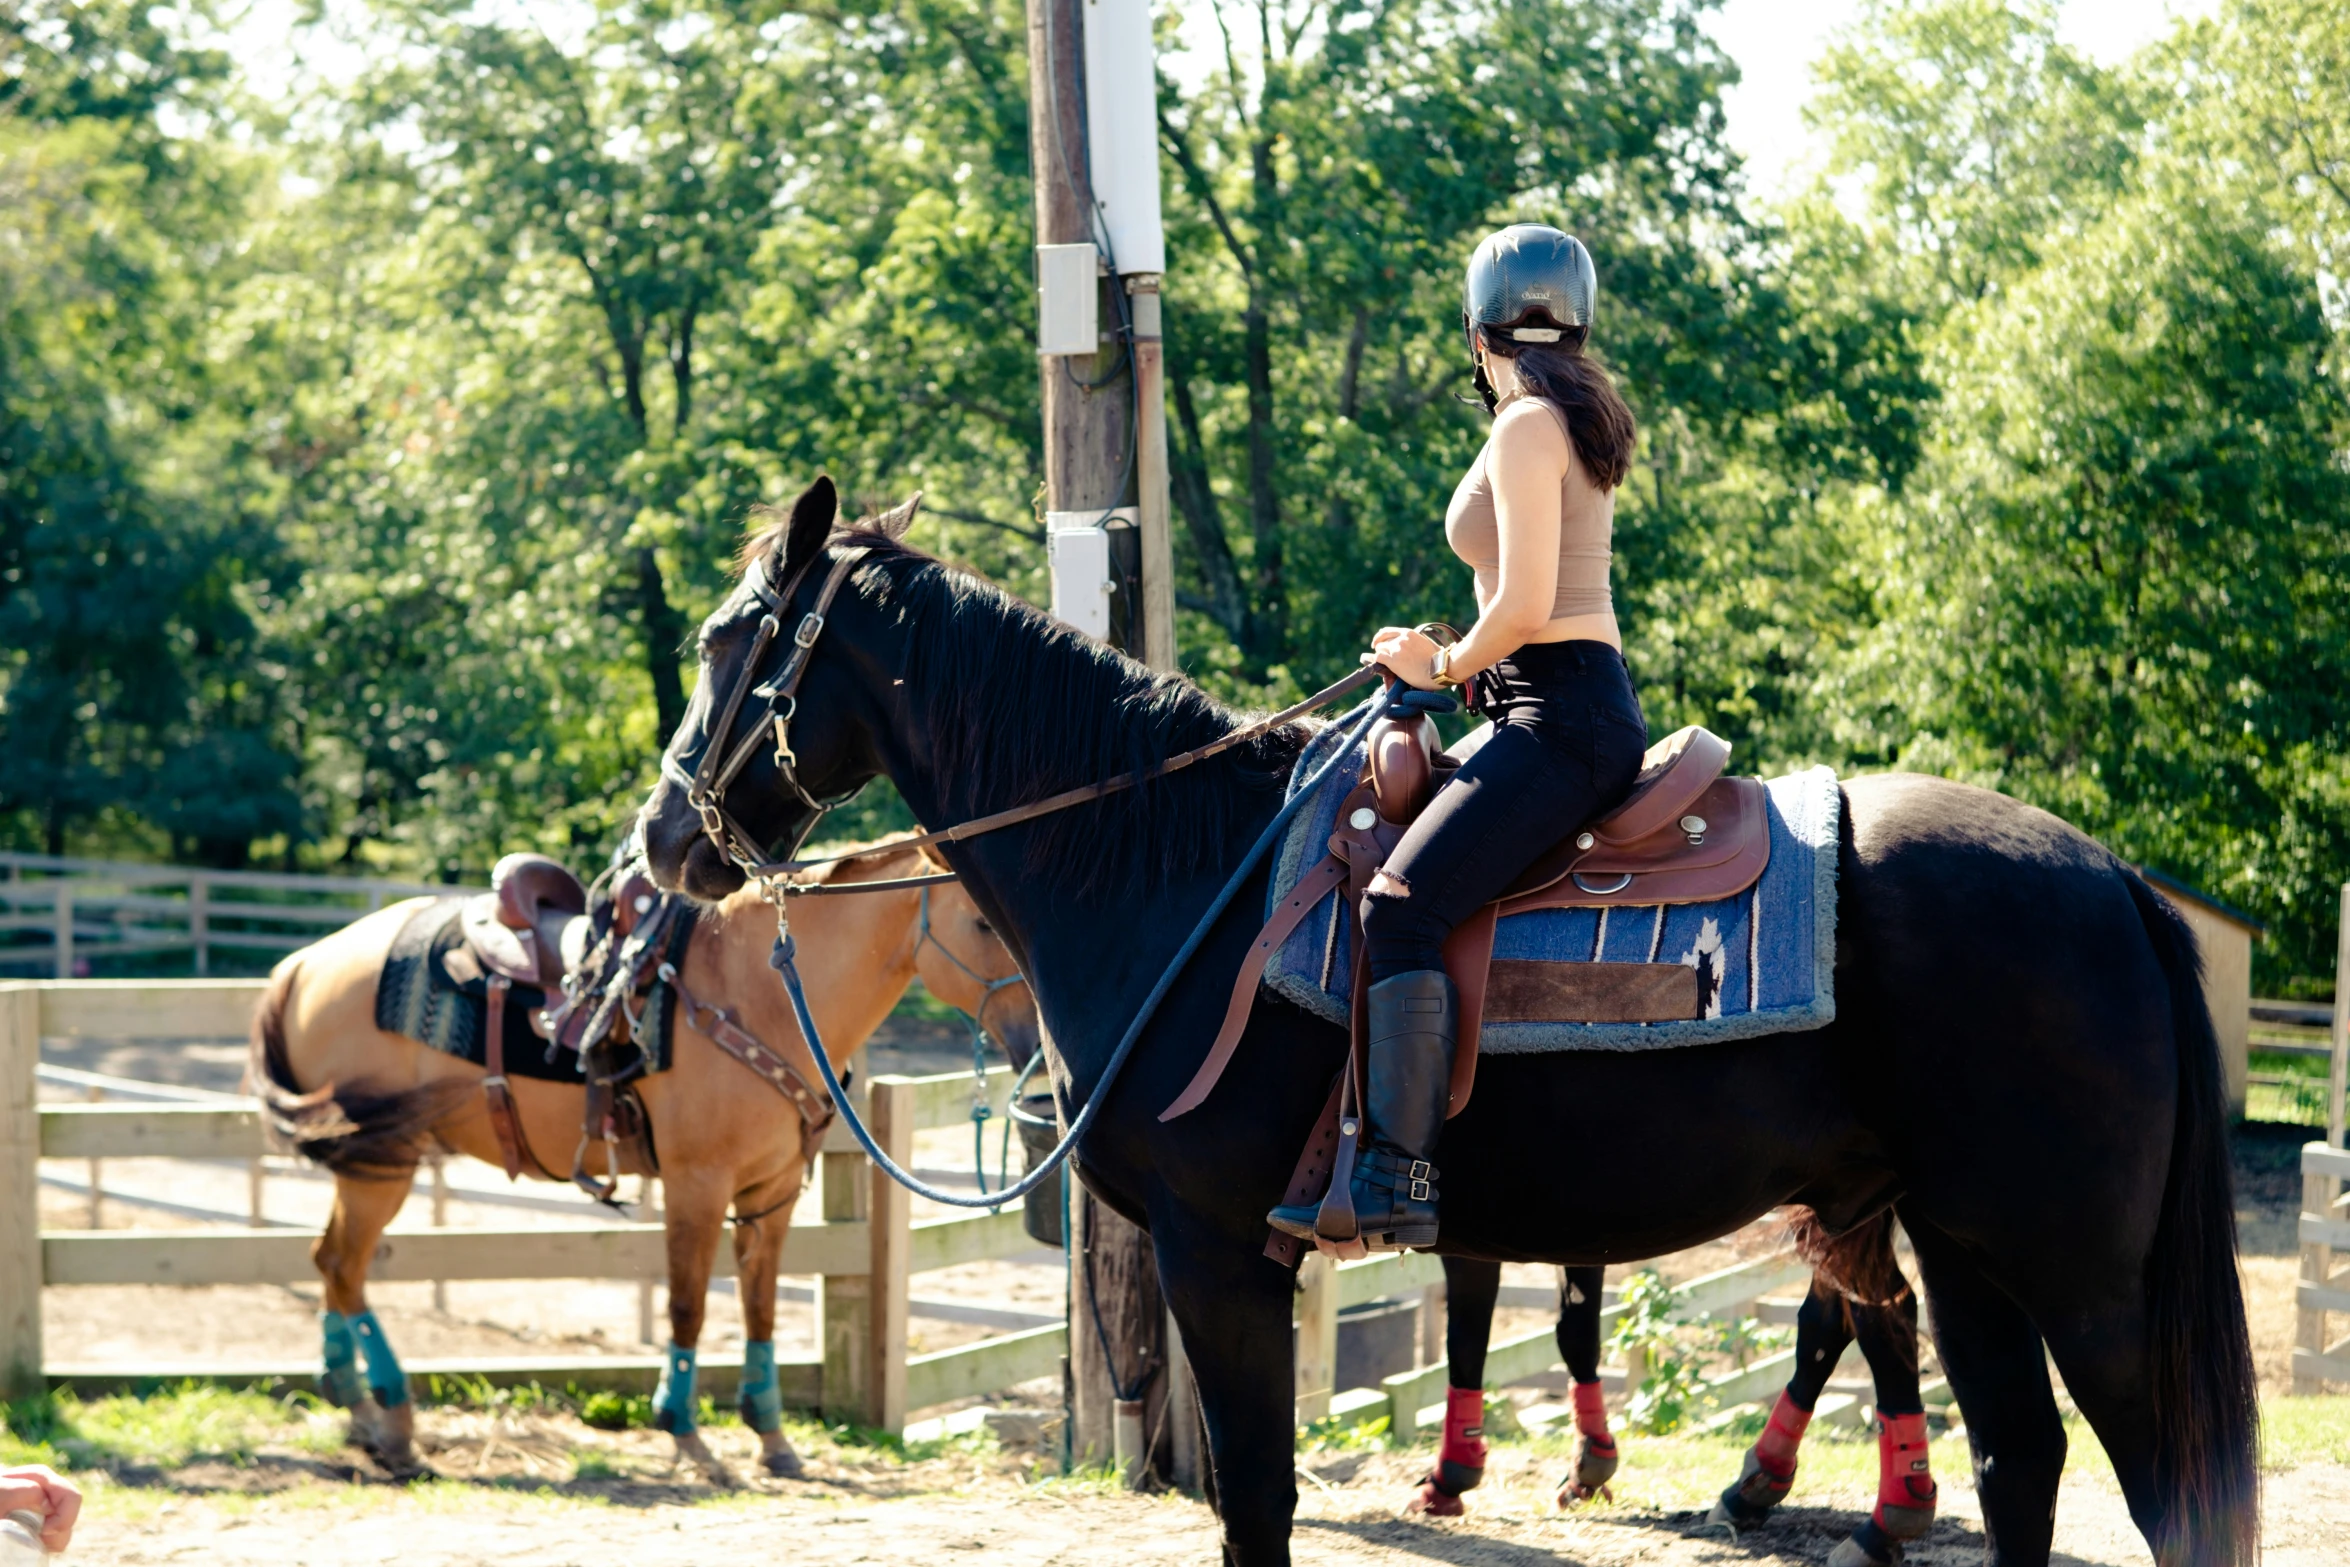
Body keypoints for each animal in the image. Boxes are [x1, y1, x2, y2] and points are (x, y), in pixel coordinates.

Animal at [247, 841, 1038, 1475]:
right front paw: (686, 1433)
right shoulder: (697, 1185)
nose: (1038, 1042)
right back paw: (393, 1419)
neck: (756, 989)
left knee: (330, 1263)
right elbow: (688, 1304)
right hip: (381, 1162)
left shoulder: (773, 1190)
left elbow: (759, 1308)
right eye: (982, 922)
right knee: (345, 1267)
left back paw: (359, 1410)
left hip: (367, 1162)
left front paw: (772, 1437)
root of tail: (304, 963)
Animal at [639, 481, 2256, 1567]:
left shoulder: (1217, 1249)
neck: (1177, 869)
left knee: (2153, 1484)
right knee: (2015, 1457)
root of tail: (2110, 876)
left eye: (730, 640)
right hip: (1963, 1243)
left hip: (2077, 1271)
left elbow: (1259, 1500)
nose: (662, 840)